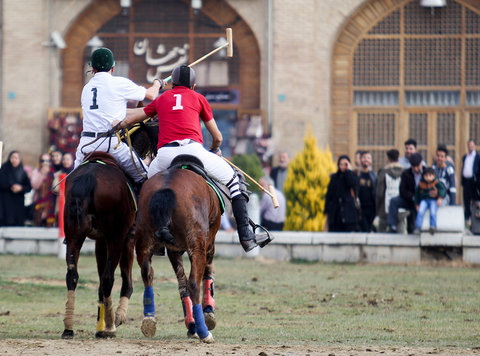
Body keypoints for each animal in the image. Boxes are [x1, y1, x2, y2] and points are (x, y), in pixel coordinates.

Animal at [61, 151, 137, 340]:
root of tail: (88, 178)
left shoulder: (101, 241)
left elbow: (100, 281)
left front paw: (99, 323)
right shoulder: (125, 238)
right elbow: (124, 280)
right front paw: (115, 318)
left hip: (74, 237)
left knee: (72, 275)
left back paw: (69, 327)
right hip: (116, 238)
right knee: (109, 278)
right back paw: (110, 327)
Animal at [134, 157, 222, 344]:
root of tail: (166, 188)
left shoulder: (173, 250)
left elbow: (182, 285)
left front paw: (191, 324)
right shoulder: (208, 243)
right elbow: (207, 274)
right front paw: (208, 313)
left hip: (143, 242)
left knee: (147, 275)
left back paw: (149, 319)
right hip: (197, 245)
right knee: (194, 283)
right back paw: (204, 332)